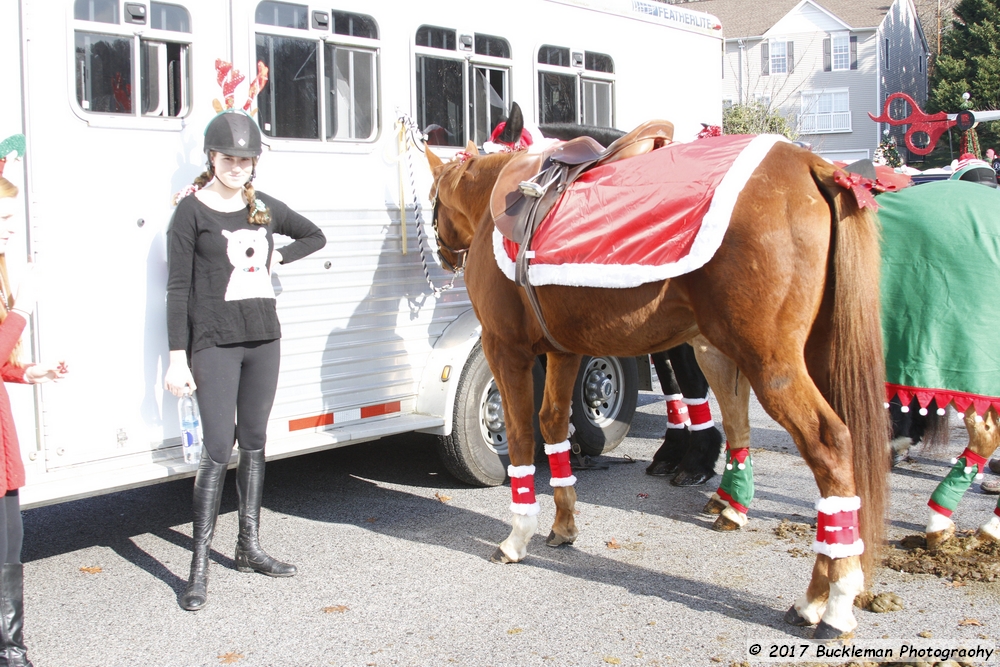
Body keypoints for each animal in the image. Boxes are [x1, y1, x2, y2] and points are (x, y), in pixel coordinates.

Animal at [426, 133, 888, 640]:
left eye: (432, 203)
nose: (441, 253)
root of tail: (814, 166)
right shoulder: (564, 352)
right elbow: (553, 427)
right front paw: (564, 525)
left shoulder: (505, 349)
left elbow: (521, 435)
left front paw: (517, 537)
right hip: (817, 355)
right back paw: (816, 592)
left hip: (772, 365)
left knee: (830, 445)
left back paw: (832, 603)